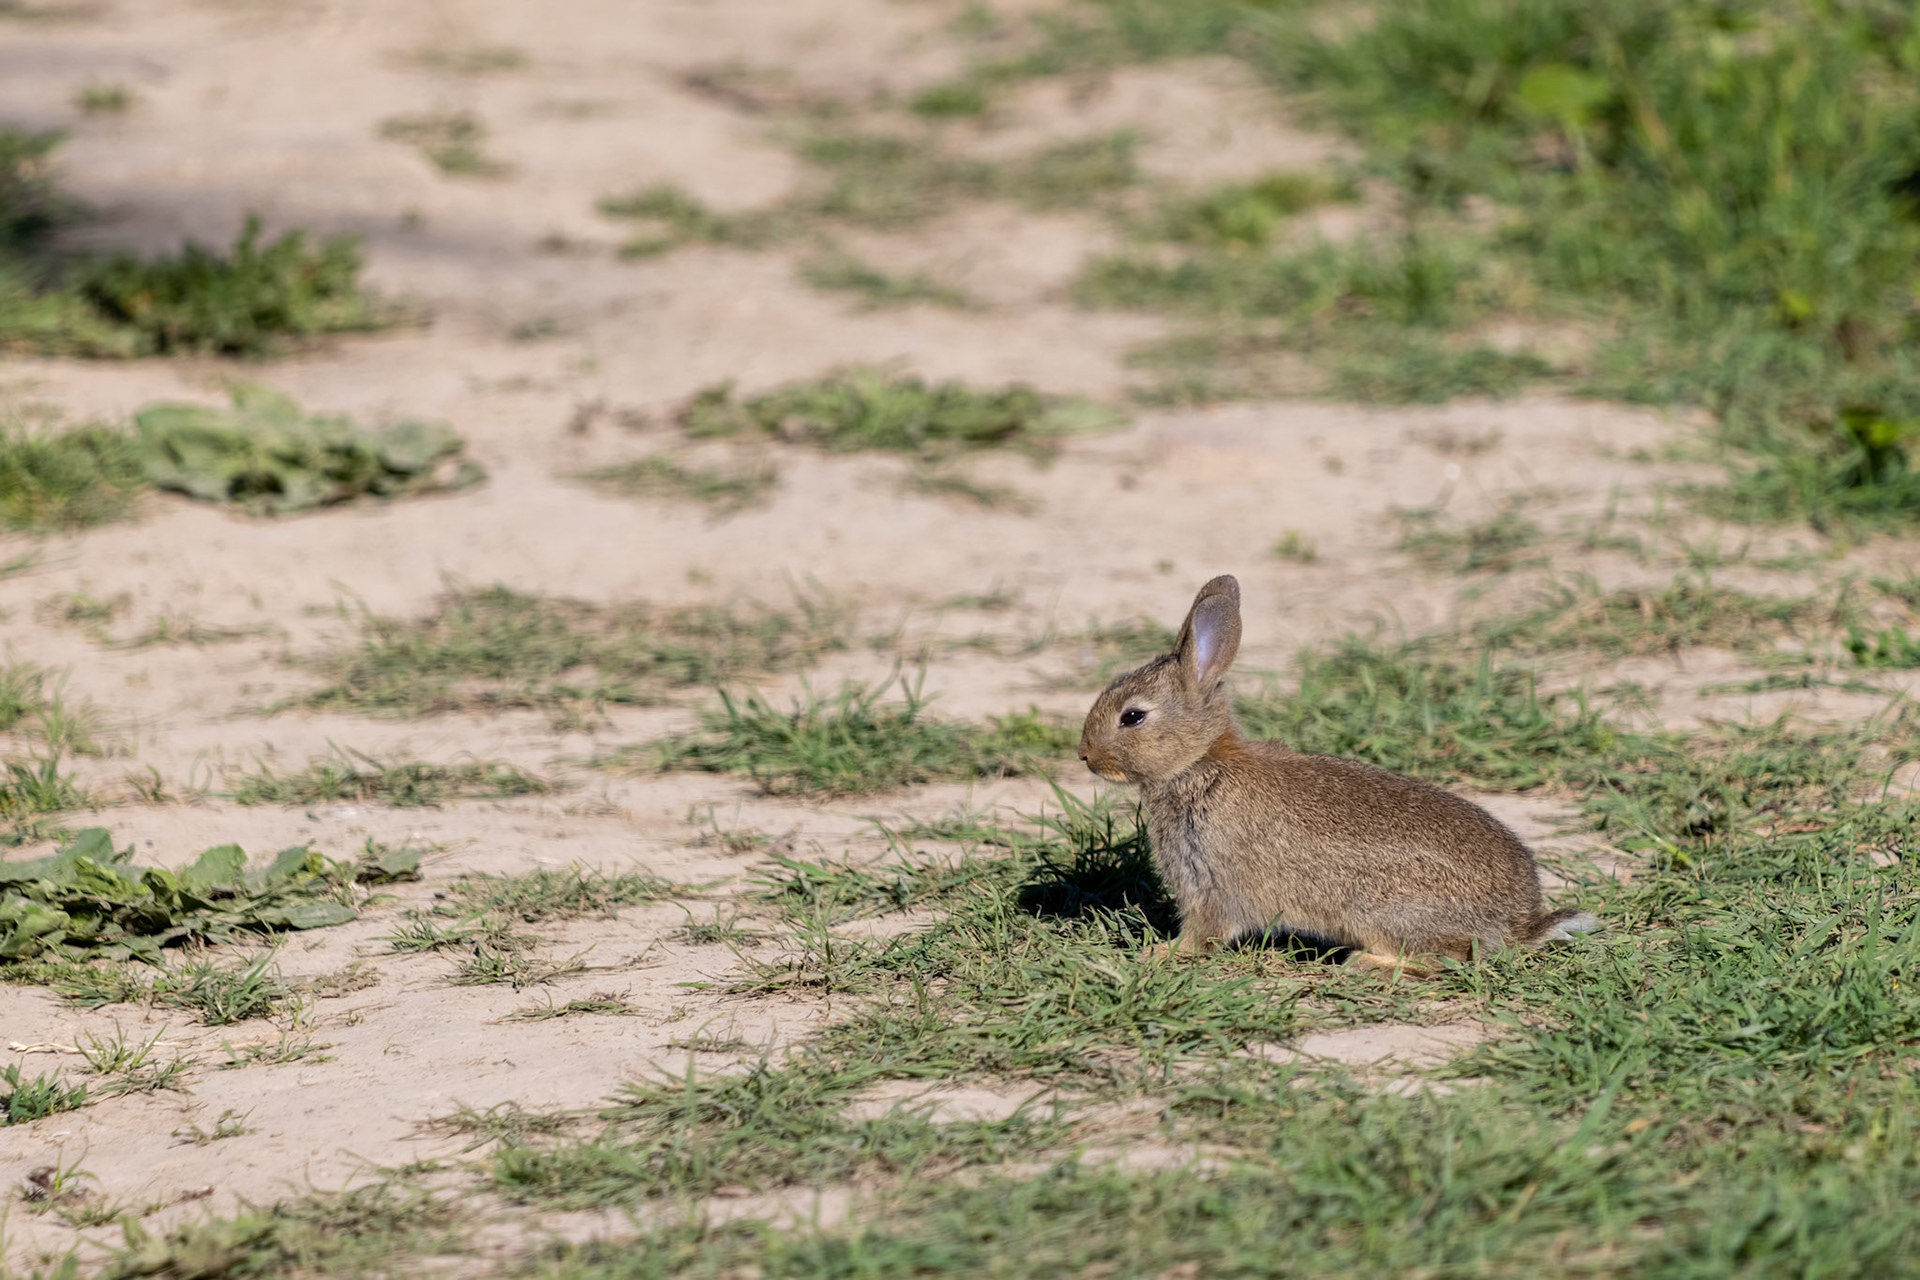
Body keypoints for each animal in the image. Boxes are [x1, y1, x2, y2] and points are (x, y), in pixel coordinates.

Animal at [1078, 574, 1594, 972]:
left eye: (1132, 717)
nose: (1085, 756)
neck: (1199, 762)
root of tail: (1518, 924)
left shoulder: (1210, 883)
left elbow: (1204, 933)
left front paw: (1160, 955)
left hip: (1384, 910)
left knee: (1449, 957)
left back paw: (1366, 963)